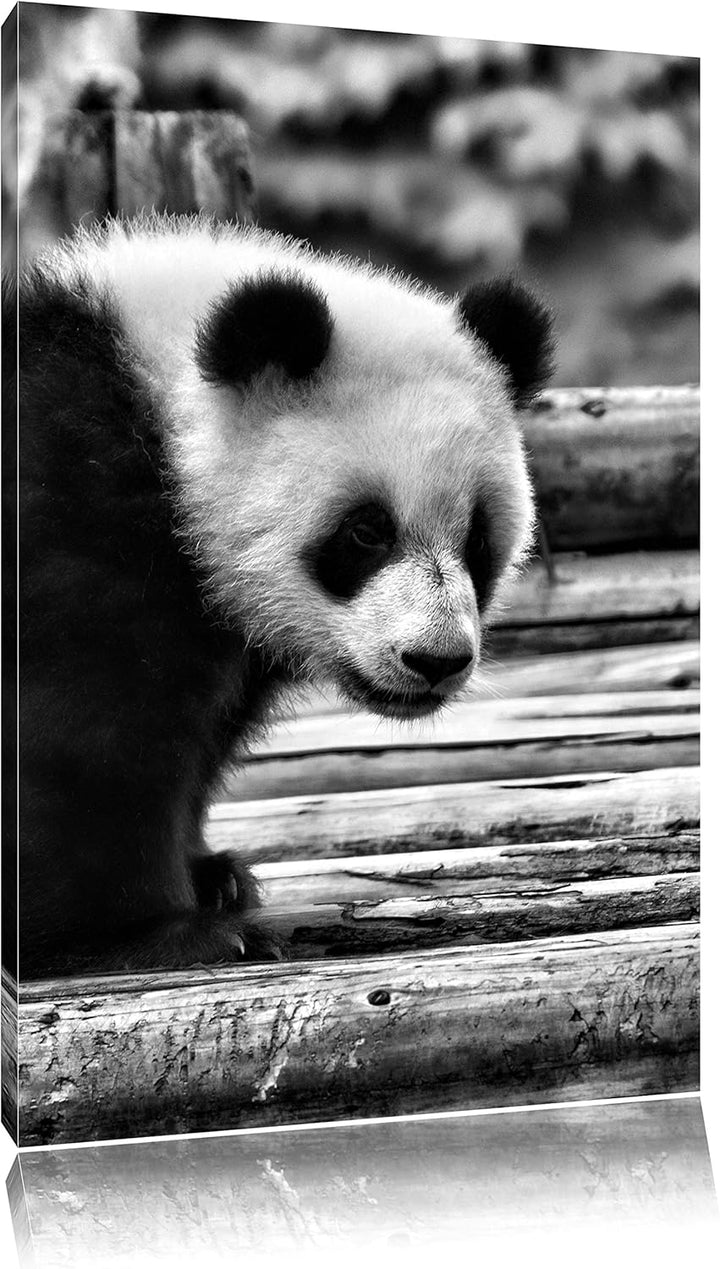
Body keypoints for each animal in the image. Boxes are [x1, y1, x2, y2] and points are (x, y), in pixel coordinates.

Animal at [14, 213, 553, 977]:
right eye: (366, 531)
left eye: (478, 539)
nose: (435, 660)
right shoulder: (74, 521)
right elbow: (83, 741)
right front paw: (153, 931)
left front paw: (213, 875)